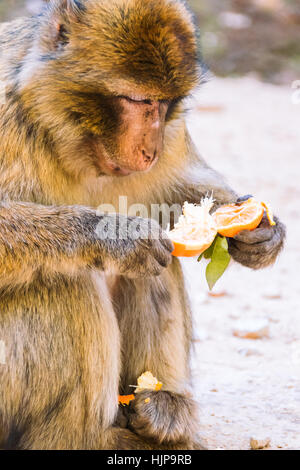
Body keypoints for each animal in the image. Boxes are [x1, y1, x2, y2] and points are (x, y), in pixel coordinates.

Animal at [0, 0, 286, 448]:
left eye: (165, 104)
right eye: (138, 100)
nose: (151, 149)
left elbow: (173, 191)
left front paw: (261, 233)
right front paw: (117, 236)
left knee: (154, 267)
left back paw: (163, 409)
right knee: (67, 281)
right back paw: (86, 437)